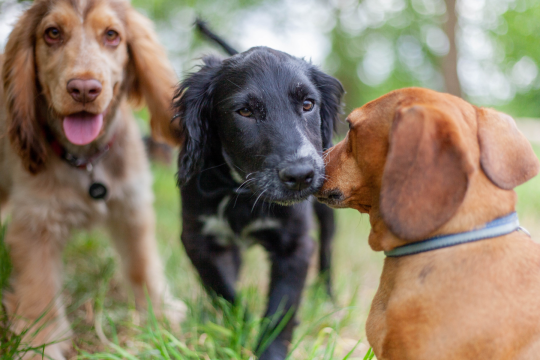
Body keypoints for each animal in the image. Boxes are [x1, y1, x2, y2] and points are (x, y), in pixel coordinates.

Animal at [171, 22, 344, 360]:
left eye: (308, 104)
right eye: (245, 112)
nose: (301, 175)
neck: (244, 193)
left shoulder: (296, 245)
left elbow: (281, 311)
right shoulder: (198, 240)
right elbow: (225, 292)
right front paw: (237, 327)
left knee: (328, 253)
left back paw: (329, 299)